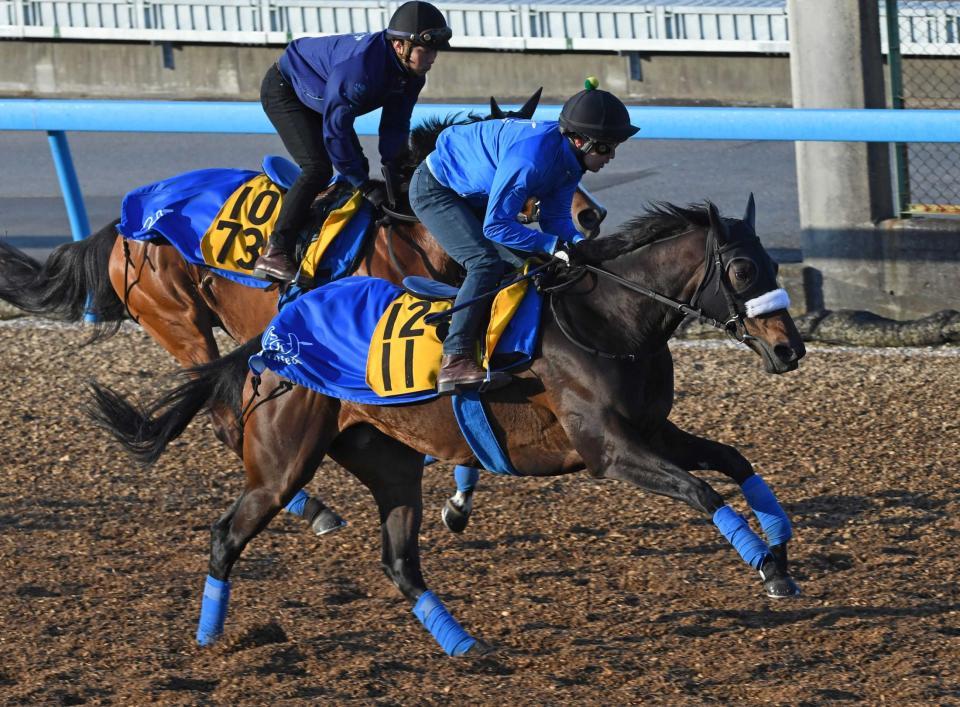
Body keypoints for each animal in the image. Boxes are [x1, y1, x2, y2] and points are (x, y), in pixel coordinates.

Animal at [92, 196, 808, 656]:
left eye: (773, 265)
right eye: (743, 269)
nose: (790, 349)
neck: (608, 320)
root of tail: (270, 339)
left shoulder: (652, 430)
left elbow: (735, 461)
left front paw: (778, 543)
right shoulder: (609, 450)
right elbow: (702, 490)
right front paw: (766, 567)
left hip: (390, 463)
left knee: (399, 562)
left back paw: (463, 643)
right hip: (282, 463)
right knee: (226, 534)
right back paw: (211, 637)